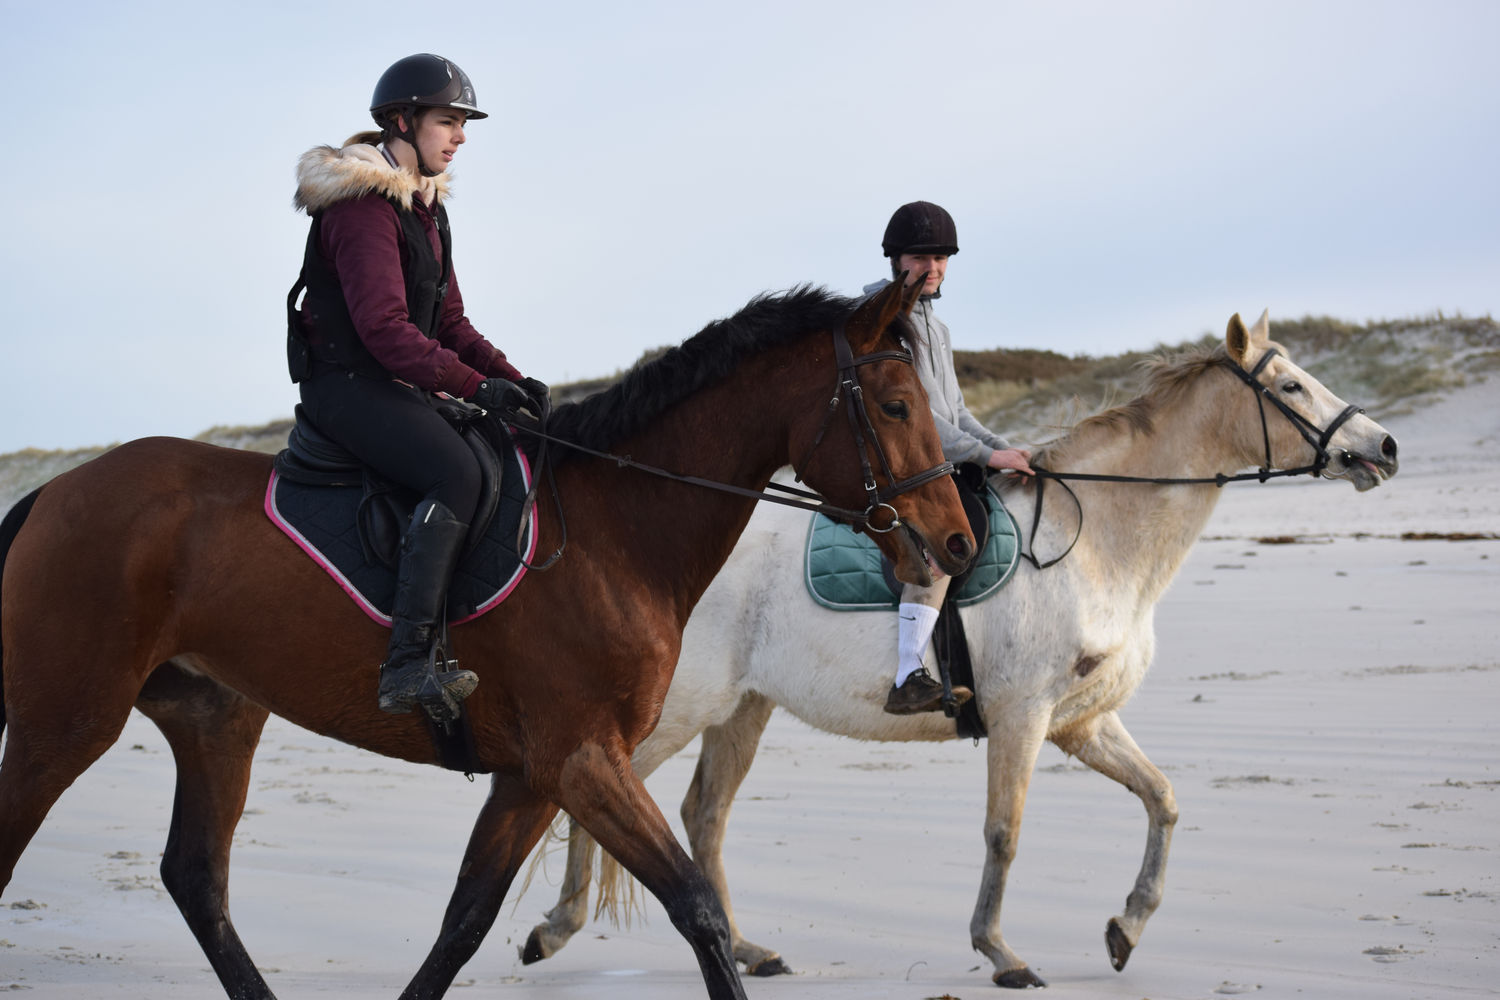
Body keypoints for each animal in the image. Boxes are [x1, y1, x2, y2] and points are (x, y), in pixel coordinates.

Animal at [0, 275, 972, 1000]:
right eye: (895, 405)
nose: (957, 541)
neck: (612, 531)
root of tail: (56, 491)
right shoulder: (581, 757)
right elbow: (694, 906)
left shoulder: (535, 774)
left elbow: (465, 919)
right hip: (66, 721)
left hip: (215, 719)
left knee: (197, 878)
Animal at [522, 310, 1398, 983]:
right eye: (1291, 387)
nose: (1384, 446)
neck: (1097, 540)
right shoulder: (1023, 716)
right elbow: (1004, 831)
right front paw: (1001, 953)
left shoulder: (1081, 722)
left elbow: (1163, 799)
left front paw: (1126, 928)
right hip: (682, 709)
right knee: (601, 793)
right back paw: (556, 928)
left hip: (745, 708)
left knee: (702, 815)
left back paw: (744, 949)